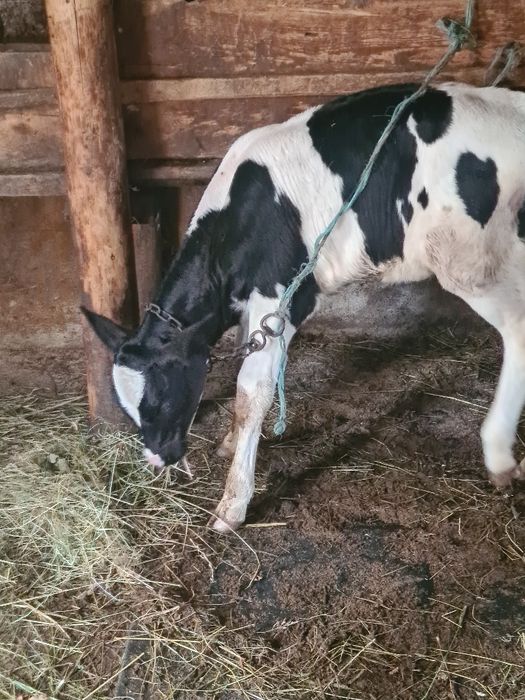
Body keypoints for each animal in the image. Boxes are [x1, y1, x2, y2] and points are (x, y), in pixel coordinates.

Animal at [83, 82, 525, 532]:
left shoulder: (285, 294)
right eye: (127, 407)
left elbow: (252, 389)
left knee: (518, 328)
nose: (158, 459)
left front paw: (232, 504)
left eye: (159, 396)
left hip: (468, 261)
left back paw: (499, 454)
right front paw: (229, 442)